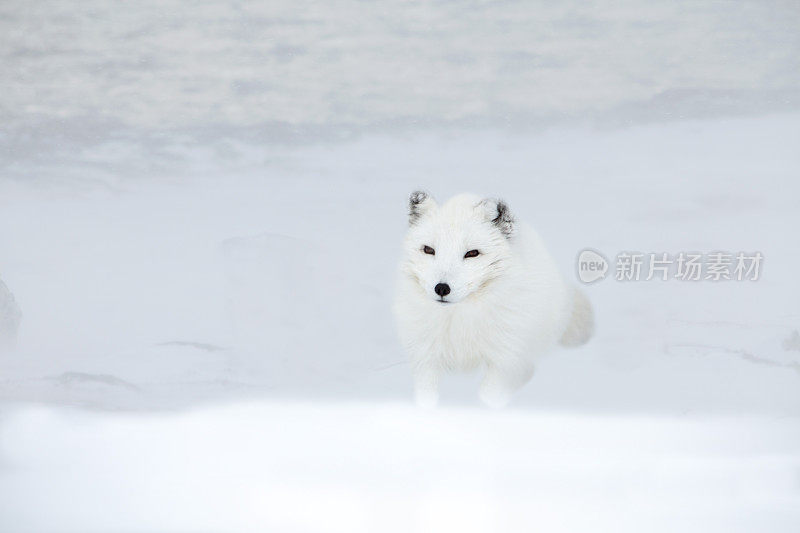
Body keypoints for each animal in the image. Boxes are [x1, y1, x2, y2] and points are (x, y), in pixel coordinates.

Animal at [394, 192, 592, 408]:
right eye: (429, 250)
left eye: (472, 253)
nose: (441, 288)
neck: (460, 320)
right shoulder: (425, 358)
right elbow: (427, 397)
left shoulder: (505, 360)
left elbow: (488, 395)